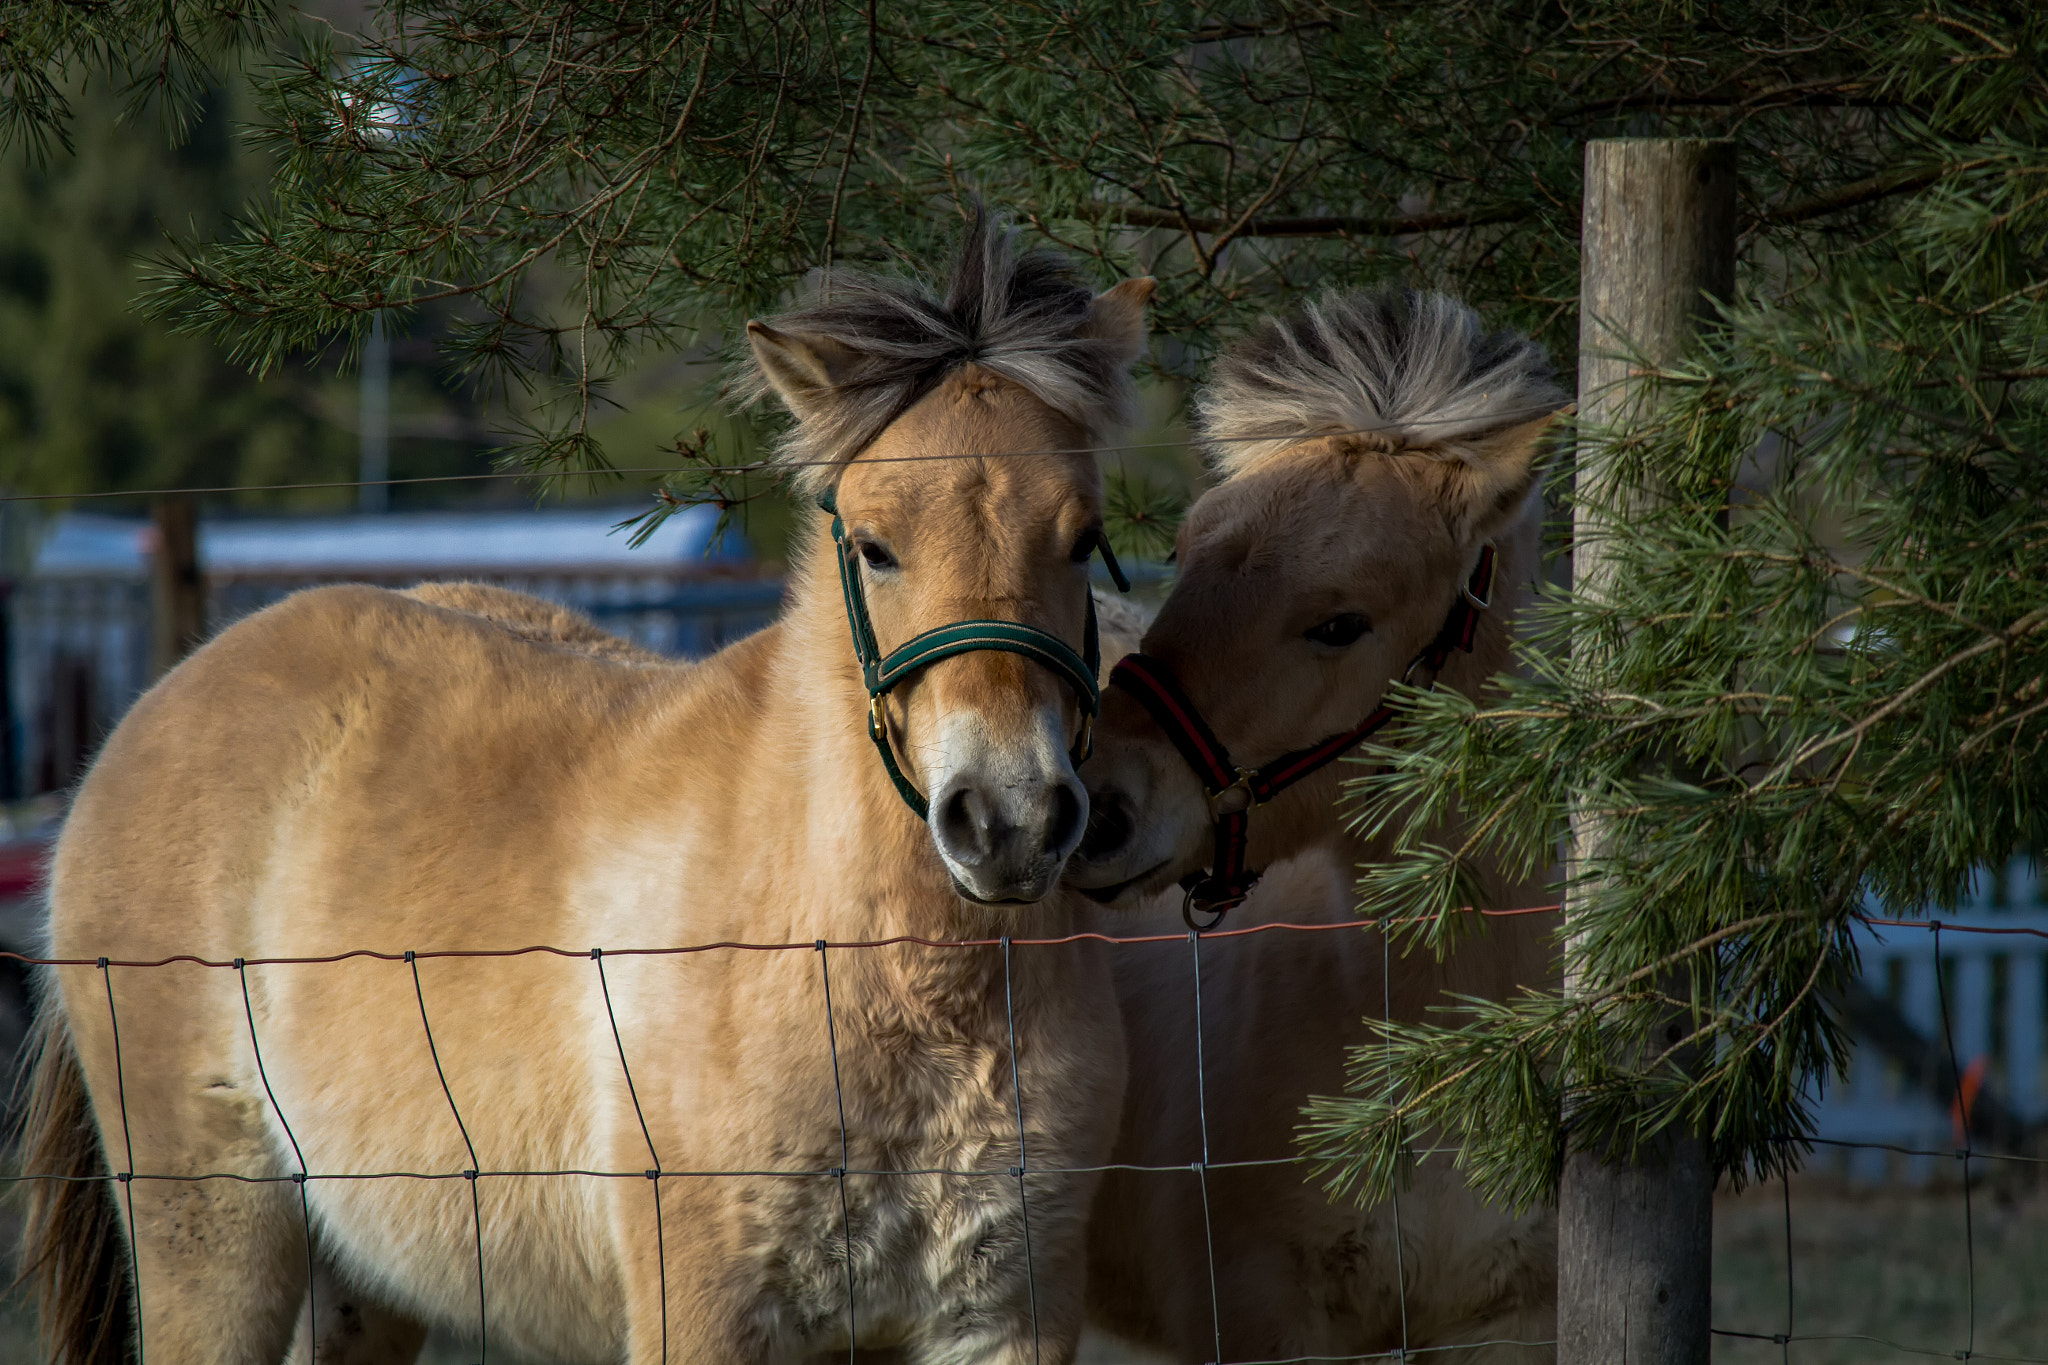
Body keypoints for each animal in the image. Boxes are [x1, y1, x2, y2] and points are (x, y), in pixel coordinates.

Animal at [20, 215, 1154, 1365]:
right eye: (876, 546)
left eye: (1082, 538)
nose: (1007, 821)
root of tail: (154, 707)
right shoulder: (701, 1314)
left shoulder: (1004, 1318)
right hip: (216, 1243)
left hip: (362, 1279)